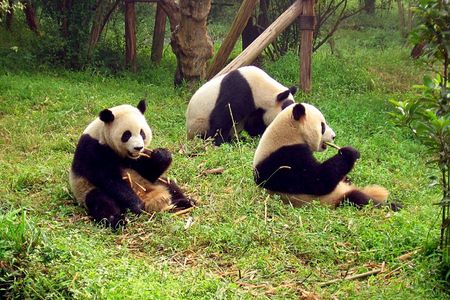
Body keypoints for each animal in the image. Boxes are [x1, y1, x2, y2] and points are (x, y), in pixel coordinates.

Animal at [69, 99, 194, 229]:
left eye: (142, 133)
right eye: (127, 134)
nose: (138, 147)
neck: (102, 135)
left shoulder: (136, 159)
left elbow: (149, 172)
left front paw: (162, 155)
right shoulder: (92, 150)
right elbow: (109, 179)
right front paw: (136, 205)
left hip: (151, 182)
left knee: (170, 185)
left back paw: (185, 202)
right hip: (86, 189)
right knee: (101, 202)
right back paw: (118, 220)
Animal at [253, 102, 400, 210]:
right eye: (322, 126)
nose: (334, 136)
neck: (288, 134)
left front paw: (347, 177)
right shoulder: (284, 158)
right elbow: (317, 180)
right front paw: (350, 153)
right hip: (335, 198)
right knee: (358, 199)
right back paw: (393, 206)